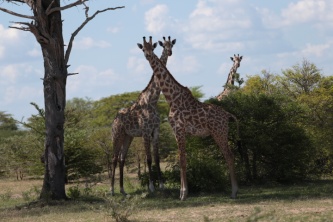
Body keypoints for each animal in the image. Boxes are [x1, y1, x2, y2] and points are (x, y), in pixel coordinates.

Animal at [109, 35, 176, 195]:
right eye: (143, 49)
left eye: (171, 45)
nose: (170, 52)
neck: (152, 100)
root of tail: (114, 120)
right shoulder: (145, 131)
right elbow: (148, 159)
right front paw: (151, 187)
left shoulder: (155, 130)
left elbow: (157, 158)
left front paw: (162, 185)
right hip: (117, 135)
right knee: (113, 158)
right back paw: (112, 190)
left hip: (128, 136)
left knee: (122, 158)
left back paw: (122, 190)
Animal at [137, 36, 239, 201]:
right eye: (143, 49)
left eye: (151, 48)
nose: (148, 55)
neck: (172, 98)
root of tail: (228, 115)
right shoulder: (177, 131)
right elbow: (182, 160)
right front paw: (183, 192)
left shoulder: (179, 130)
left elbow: (182, 161)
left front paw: (183, 193)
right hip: (221, 133)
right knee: (230, 156)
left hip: (219, 133)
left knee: (229, 156)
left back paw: (234, 191)